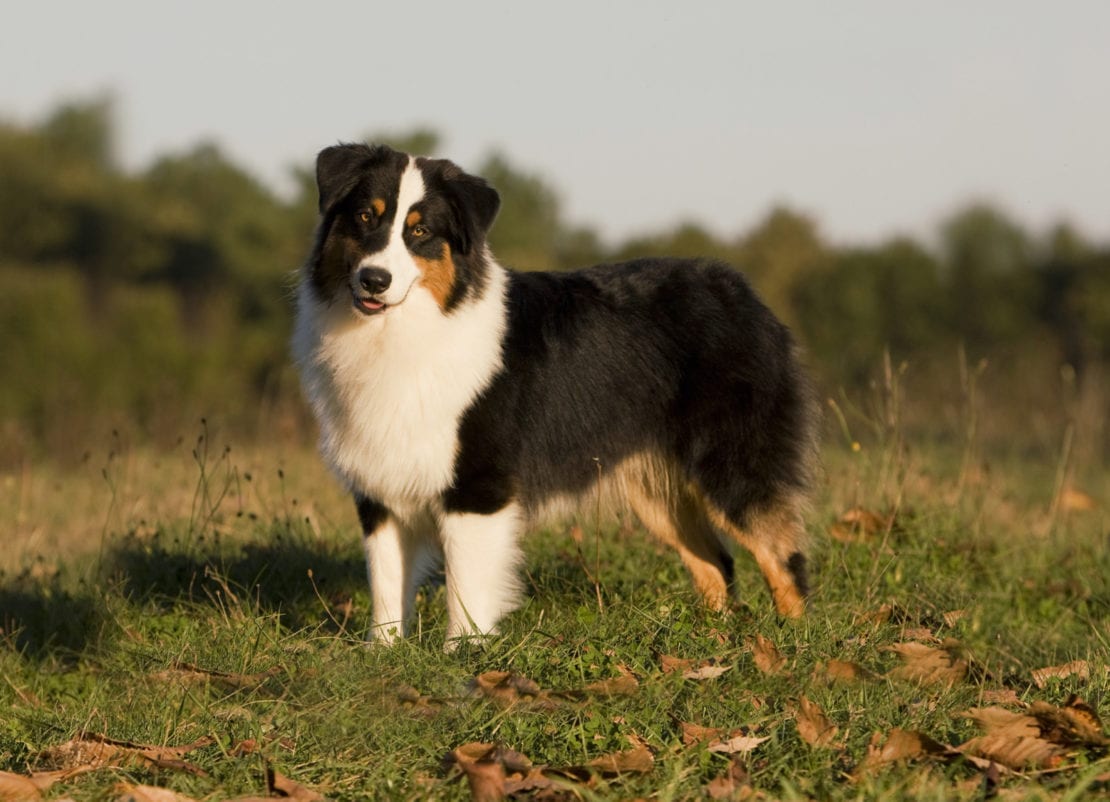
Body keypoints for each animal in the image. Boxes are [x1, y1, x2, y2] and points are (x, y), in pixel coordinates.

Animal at [290, 144, 821, 647]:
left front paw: (464, 654)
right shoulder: (379, 487)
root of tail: (741, 292)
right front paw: (383, 653)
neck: (409, 331)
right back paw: (713, 640)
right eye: (365, 217)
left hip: (733, 467)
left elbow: (466, 586)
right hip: (657, 490)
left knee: (783, 555)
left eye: (420, 232)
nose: (374, 279)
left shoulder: (478, 486)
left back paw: (794, 643)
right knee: (717, 564)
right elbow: (386, 584)